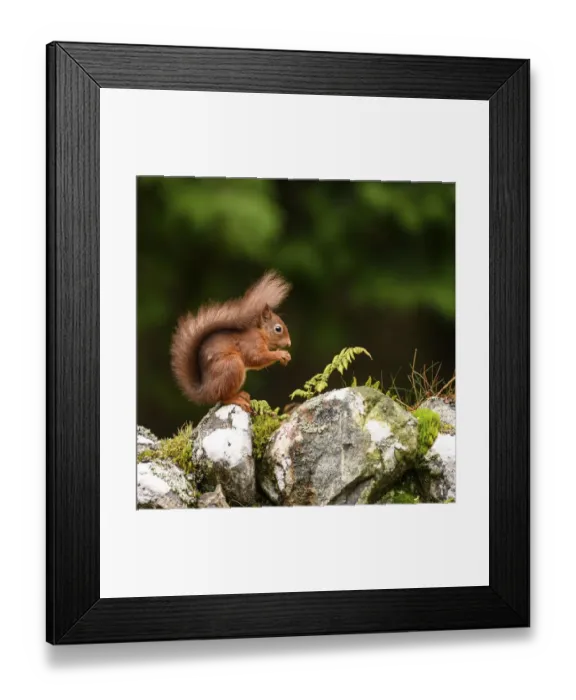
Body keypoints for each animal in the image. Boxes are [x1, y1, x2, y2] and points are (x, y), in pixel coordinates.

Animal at [170, 271, 292, 413]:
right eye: (278, 329)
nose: (289, 343)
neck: (261, 333)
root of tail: (205, 392)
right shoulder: (251, 344)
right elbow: (257, 358)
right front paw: (281, 354)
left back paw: (241, 394)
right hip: (232, 365)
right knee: (223, 398)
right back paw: (237, 399)